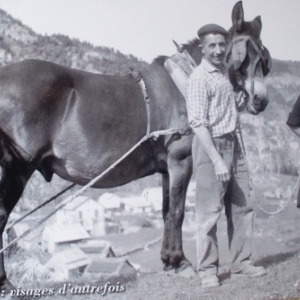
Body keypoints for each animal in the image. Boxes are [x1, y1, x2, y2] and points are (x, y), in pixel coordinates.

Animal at [0, 1, 270, 294]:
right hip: (15, 169)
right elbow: (177, 212)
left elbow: (166, 211)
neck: (185, 81)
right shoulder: (180, 160)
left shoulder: (166, 169)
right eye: (245, 54)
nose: (261, 99)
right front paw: (181, 262)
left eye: (263, 57)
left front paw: (170, 261)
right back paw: (5, 282)